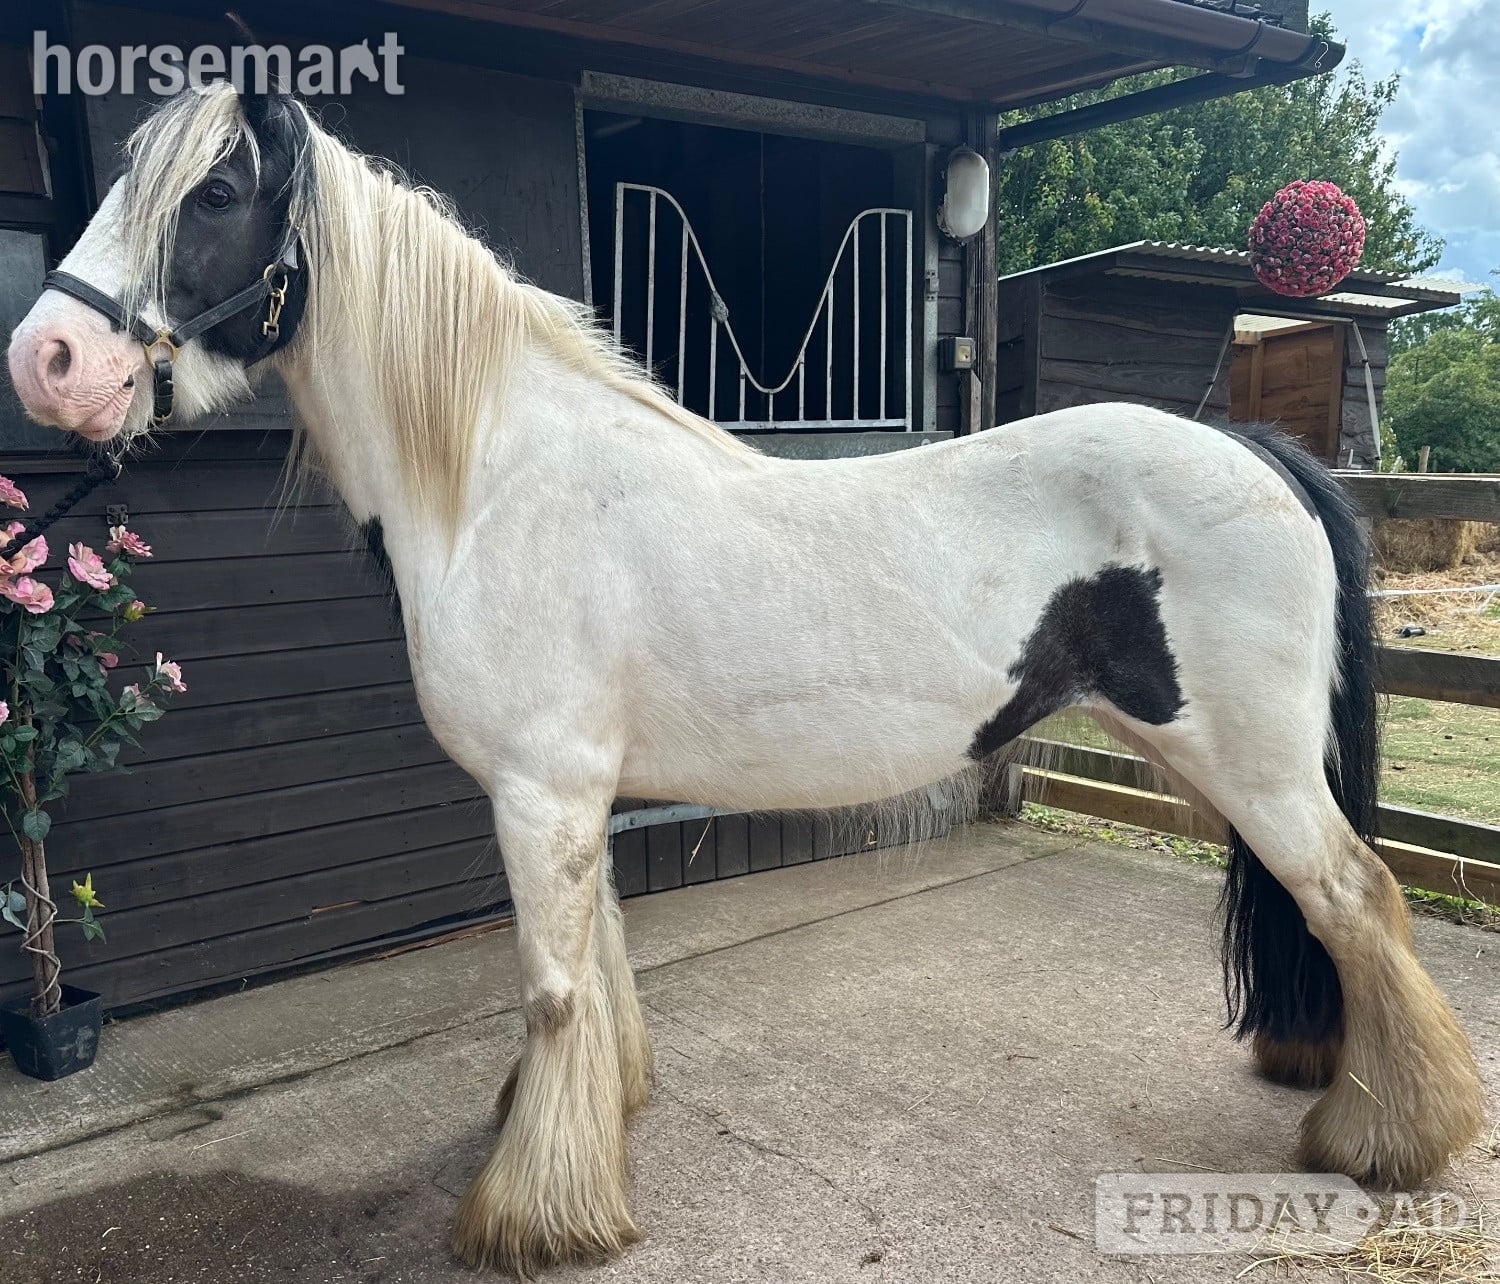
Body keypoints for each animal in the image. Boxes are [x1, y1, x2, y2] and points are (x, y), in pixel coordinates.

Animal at [7, 81, 1486, 1275]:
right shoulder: (572, 797)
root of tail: (1256, 456)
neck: (500, 483)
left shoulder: (541, 791)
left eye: (214, 193)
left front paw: (534, 1218)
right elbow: (597, 970)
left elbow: (551, 991)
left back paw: (1387, 1139)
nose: (49, 363)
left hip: (1254, 764)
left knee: (1360, 898)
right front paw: (585, 1134)